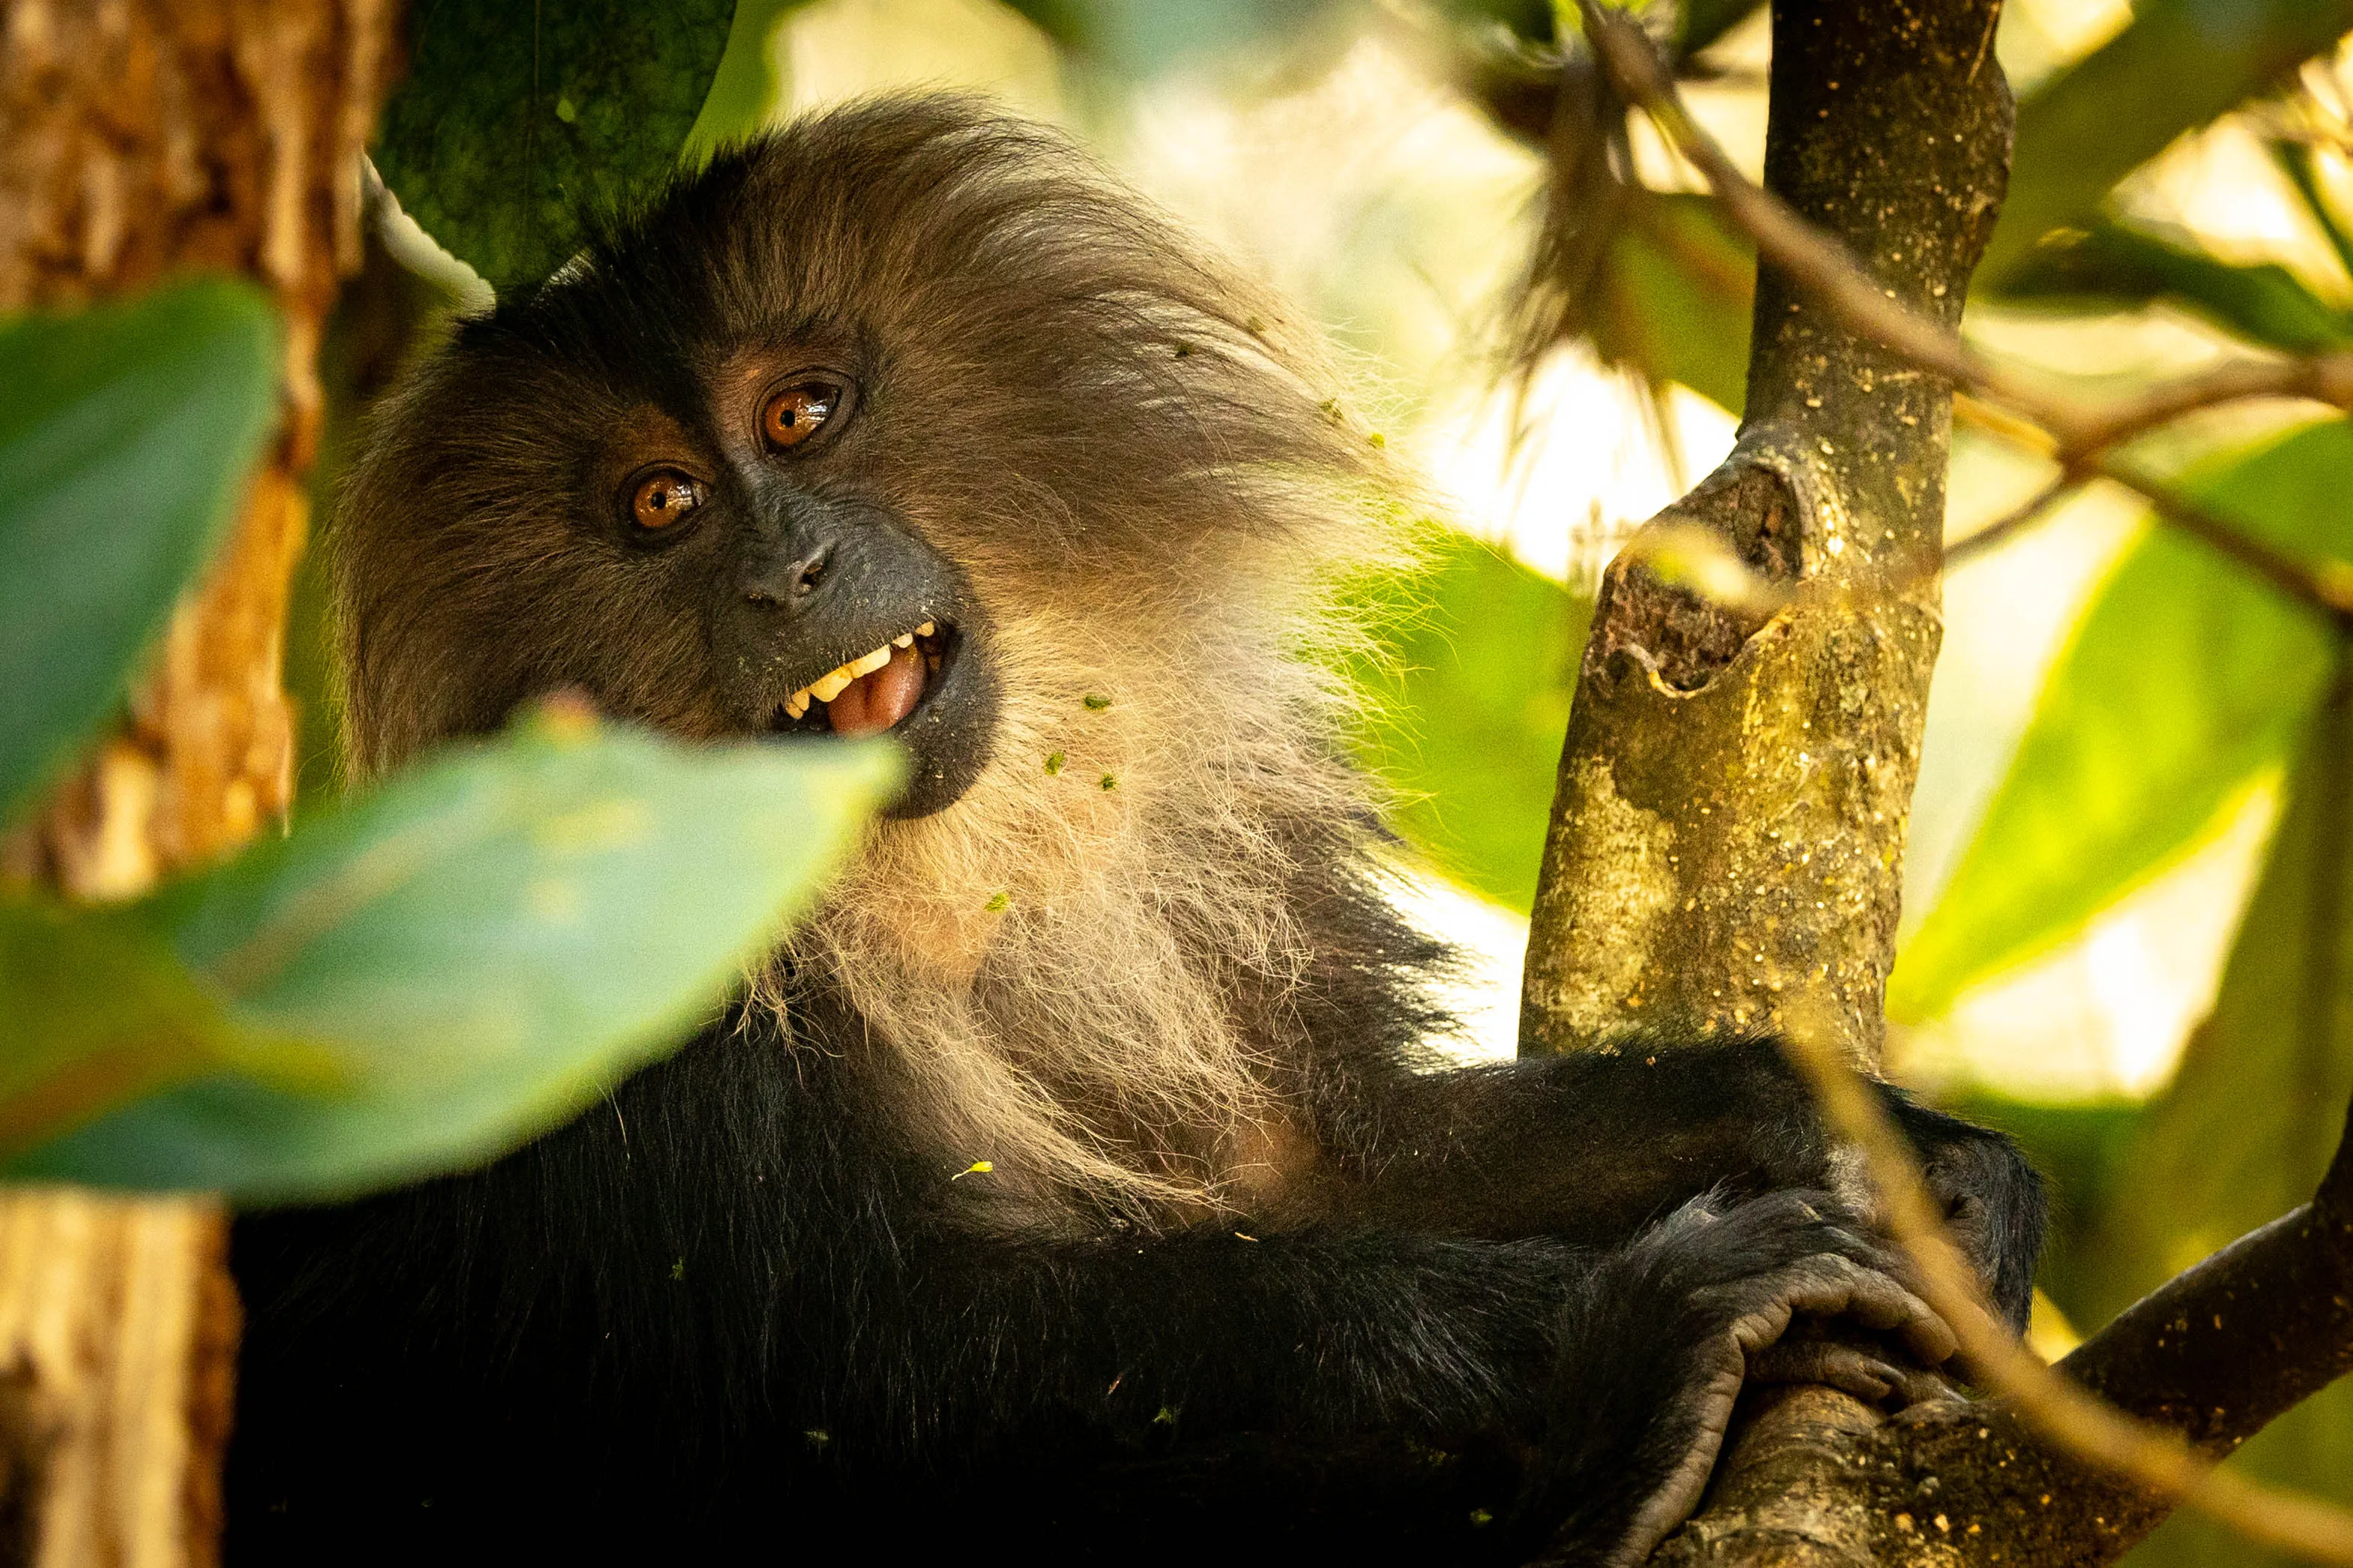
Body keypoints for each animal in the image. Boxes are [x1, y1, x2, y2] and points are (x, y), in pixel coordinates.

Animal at [226, 97, 2044, 1567]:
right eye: (660, 506)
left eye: (801, 414)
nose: (788, 573)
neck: (931, 887)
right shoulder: (614, 1020)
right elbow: (878, 1368)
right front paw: (1600, 1336)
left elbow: (1332, 1158)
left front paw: (1876, 1146)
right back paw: (1605, 1451)